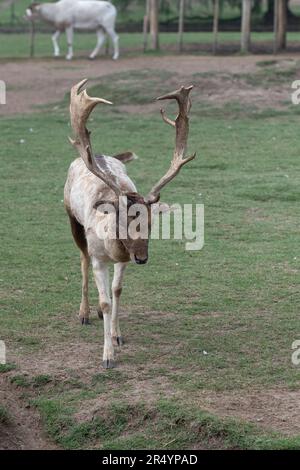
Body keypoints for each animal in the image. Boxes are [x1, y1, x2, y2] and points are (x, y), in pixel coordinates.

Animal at [63, 80, 195, 368]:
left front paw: (117, 336)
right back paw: (83, 313)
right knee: (82, 260)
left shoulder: (124, 259)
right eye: (123, 220)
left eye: (151, 223)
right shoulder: (99, 257)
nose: (143, 258)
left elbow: (117, 291)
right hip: (71, 217)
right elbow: (104, 301)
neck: (113, 248)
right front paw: (107, 357)